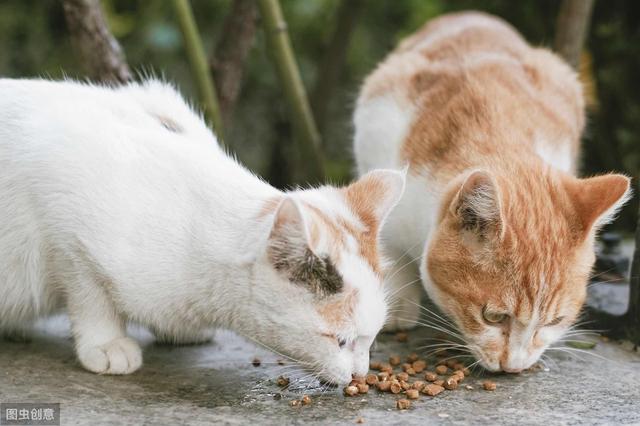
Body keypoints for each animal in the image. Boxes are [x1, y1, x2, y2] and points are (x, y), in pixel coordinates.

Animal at [0, 78, 404, 384]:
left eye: (372, 339)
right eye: (340, 341)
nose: (360, 375)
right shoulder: (66, 224)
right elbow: (91, 295)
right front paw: (106, 342)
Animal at [356, 12, 632, 372]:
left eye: (554, 322)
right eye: (493, 317)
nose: (514, 366)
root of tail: (472, 14)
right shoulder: (378, 129)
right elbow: (387, 238)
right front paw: (398, 299)